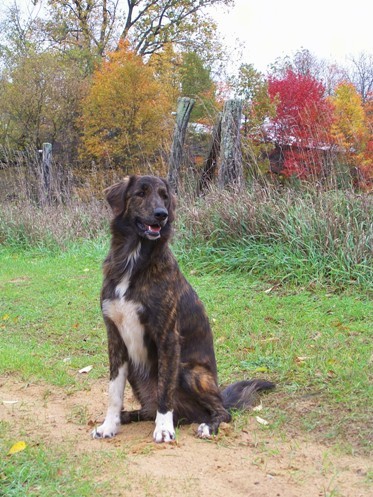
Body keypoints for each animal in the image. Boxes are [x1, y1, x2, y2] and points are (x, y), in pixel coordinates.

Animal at [93, 174, 274, 442]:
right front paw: (109, 425)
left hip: (188, 371)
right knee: (149, 410)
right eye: (140, 193)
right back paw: (128, 416)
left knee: (221, 412)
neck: (133, 259)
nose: (161, 214)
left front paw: (164, 429)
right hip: (137, 369)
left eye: (164, 196)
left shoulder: (168, 338)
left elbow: (165, 392)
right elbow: (114, 390)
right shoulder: (115, 337)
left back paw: (208, 425)